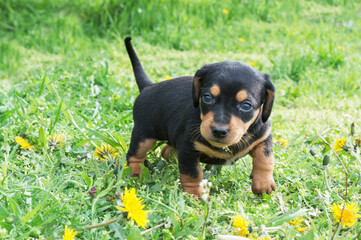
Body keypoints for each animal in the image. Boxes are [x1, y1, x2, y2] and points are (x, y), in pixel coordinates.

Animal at [124, 37, 276, 199]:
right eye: (207, 97)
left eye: (246, 106)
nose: (219, 131)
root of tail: (148, 87)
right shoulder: (188, 149)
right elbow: (192, 175)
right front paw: (196, 196)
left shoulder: (264, 136)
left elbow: (265, 158)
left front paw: (263, 183)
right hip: (143, 136)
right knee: (134, 155)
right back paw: (135, 174)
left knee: (166, 151)